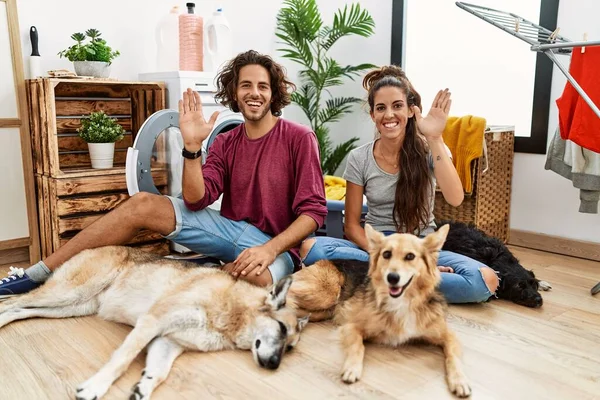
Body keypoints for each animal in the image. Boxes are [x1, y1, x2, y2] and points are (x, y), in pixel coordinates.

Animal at [0, 247, 308, 400]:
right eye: (281, 329)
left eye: (290, 348)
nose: (274, 366)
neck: (231, 313)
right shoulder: (151, 322)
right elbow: (121, 360)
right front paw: (95, 387)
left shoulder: (167, 341)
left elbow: (159, 372)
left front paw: (143, 387)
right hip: (67, 293)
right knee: (11, 302)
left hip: (70, 307)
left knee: (19, 310)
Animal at [288, 225, 472, 396]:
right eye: (386, 254)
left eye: (410, 256)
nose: (392, 278)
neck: (402, 303)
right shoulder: (352, 327)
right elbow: (358, 346)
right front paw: (351, 368)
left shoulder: (449, 335)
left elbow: (453, 357)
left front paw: (460, 381)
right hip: (326, 293)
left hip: (323, 310)